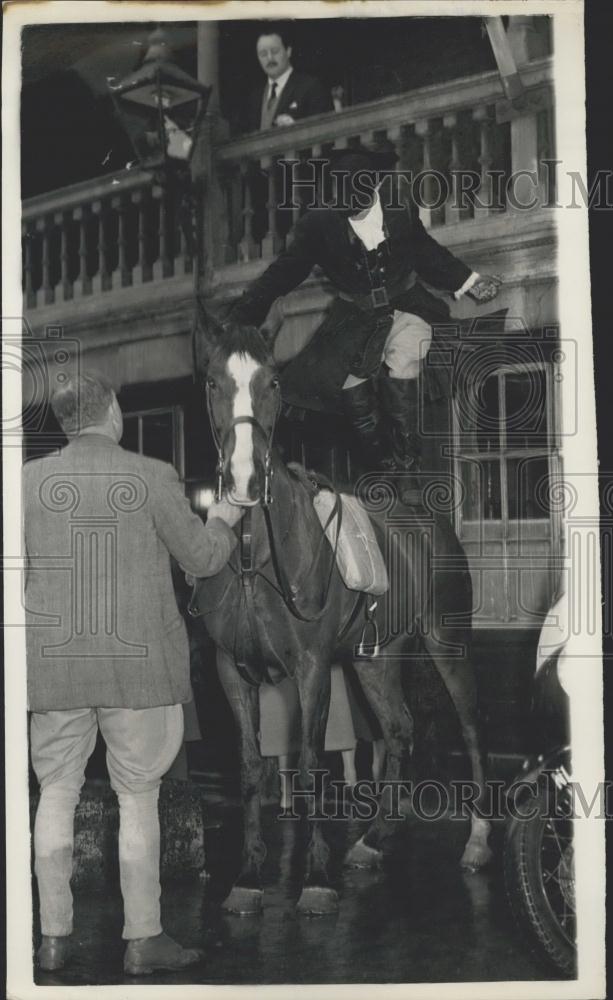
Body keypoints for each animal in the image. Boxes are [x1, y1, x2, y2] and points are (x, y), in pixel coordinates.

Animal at [189, 304, 490, 916]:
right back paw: (373, 841)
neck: (256, 554)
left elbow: (307, 765)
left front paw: (315, 878)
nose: (244, 481)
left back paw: (475, 841)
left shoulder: (310, 670)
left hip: (447, 643)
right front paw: (249, 877)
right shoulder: (232, 669)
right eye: (212, 383)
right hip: (376, 659)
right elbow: (250, 766)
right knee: (398, 730)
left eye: (272, 382)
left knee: (469, 725)